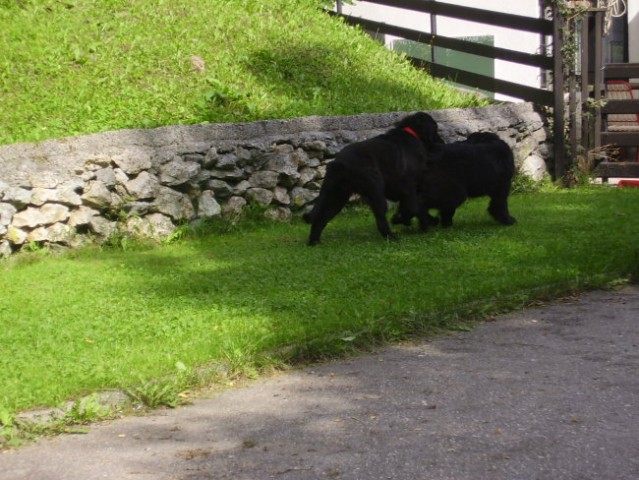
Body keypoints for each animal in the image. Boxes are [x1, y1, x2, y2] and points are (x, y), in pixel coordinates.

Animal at [302, 113, 442, 246]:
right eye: (435, 128)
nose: (441, 142)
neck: (412, 132)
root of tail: (339, 162)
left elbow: (417, 208)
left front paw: (426, 222)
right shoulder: (408, 188)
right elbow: (412, 209)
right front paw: (400, 219)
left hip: (336, 196)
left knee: (322, 217)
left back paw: (314, 241)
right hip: (375, 191)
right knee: (380, 218)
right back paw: (391, 237)